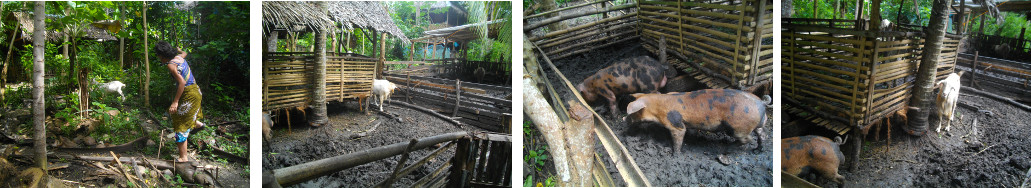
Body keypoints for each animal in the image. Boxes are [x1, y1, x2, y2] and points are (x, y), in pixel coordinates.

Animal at [618, 88, 767, 153]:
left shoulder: (676, 124)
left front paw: (675, 154)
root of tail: (761, 103)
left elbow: (679, 136)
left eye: (631, 112)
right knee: (761, 135)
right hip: (759, 124)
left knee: (747, 139)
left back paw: (727, 149)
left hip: (738, 127)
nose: (623, 118)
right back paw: (758, 150)